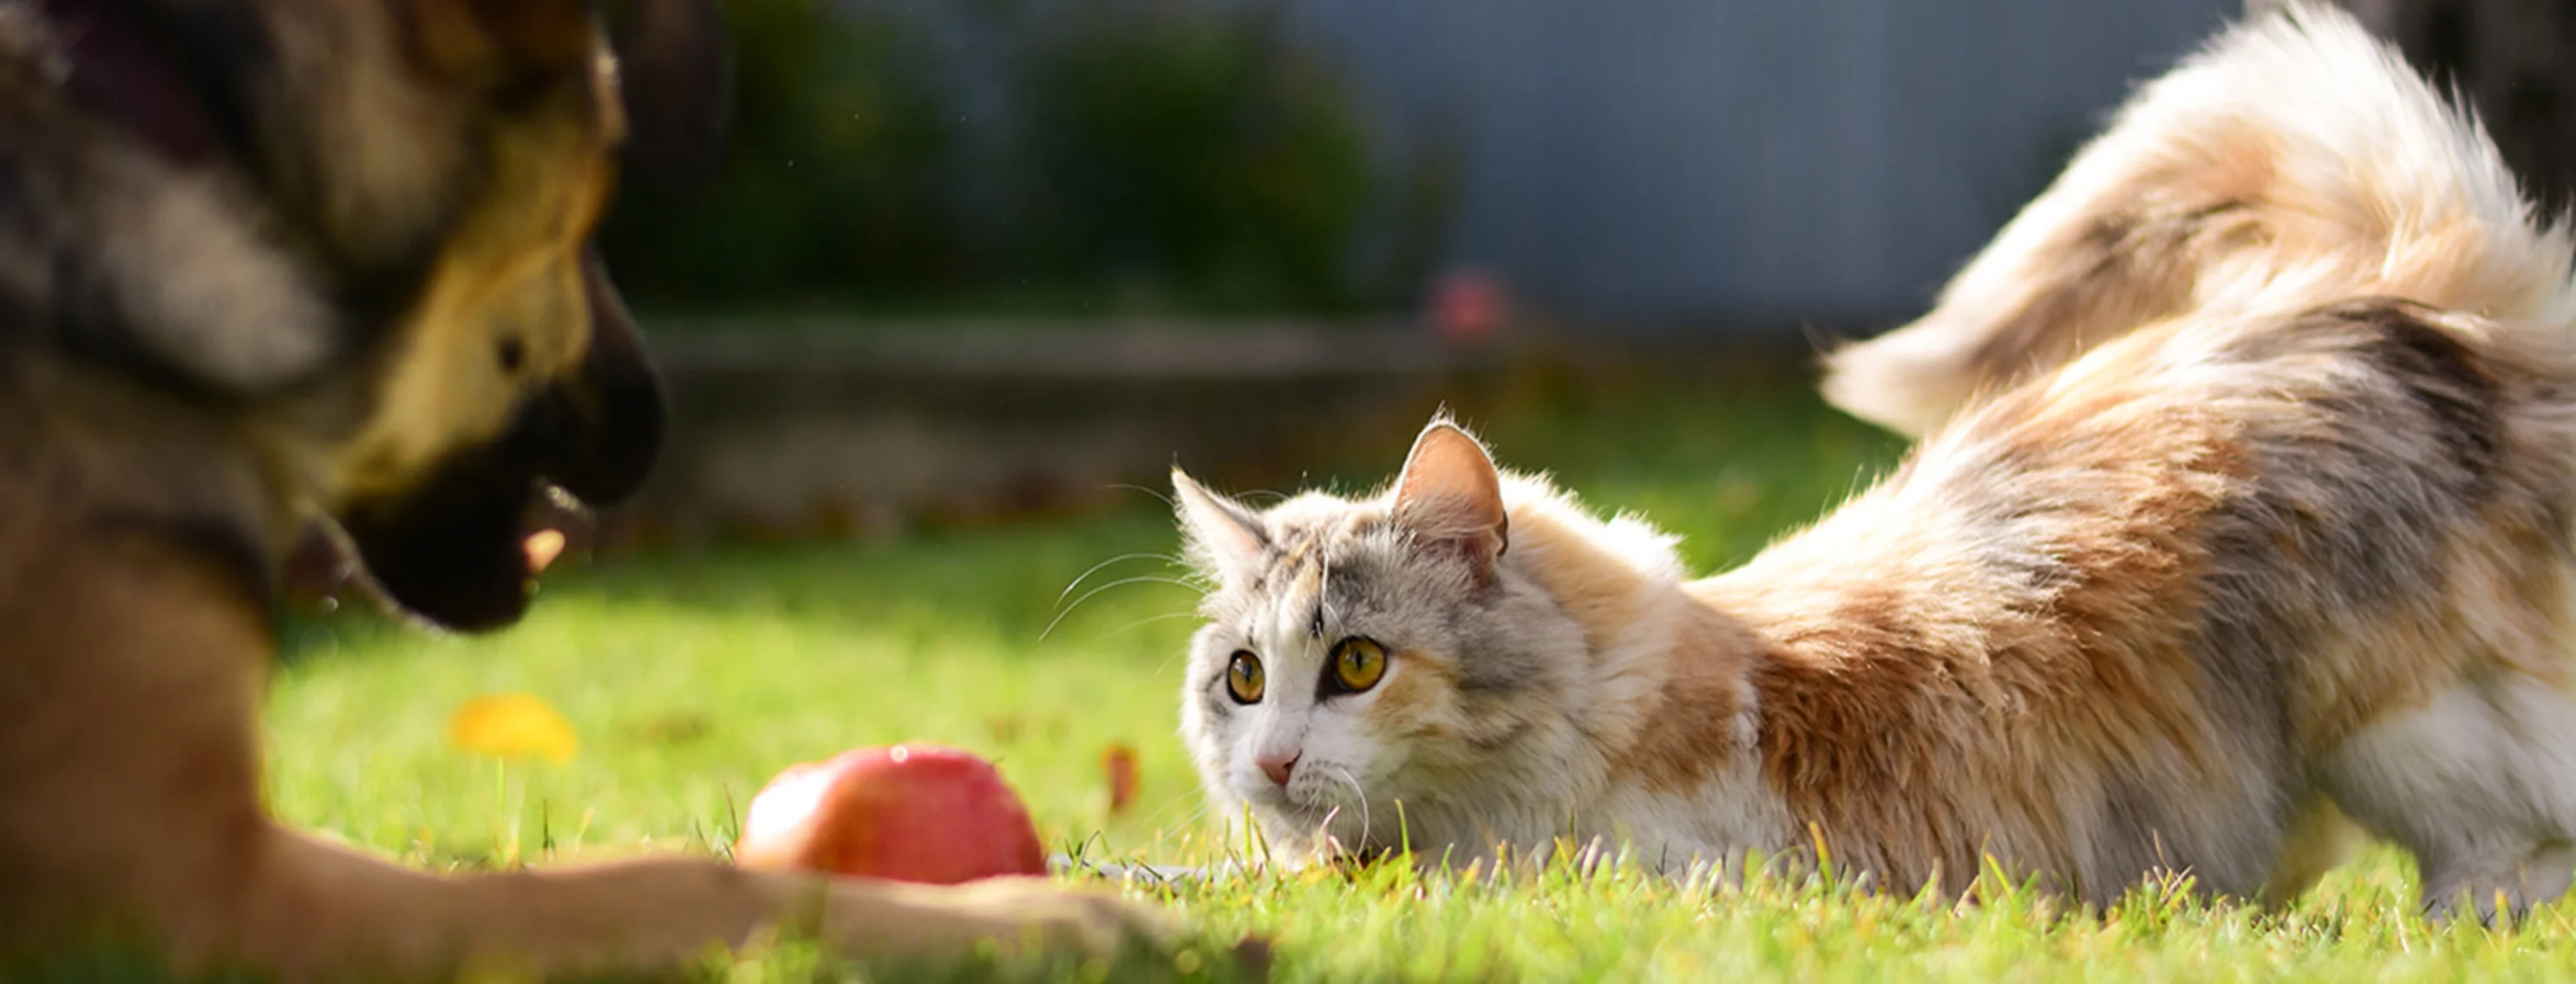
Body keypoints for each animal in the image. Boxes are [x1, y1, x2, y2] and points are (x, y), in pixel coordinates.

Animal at [1180, 5, 2576, 922]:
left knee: (2518, 843)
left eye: (1358, 665)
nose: (1273, 763)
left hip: (2402, 718)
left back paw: (2447, 927)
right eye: (1244, 680)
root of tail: (2384, 294)